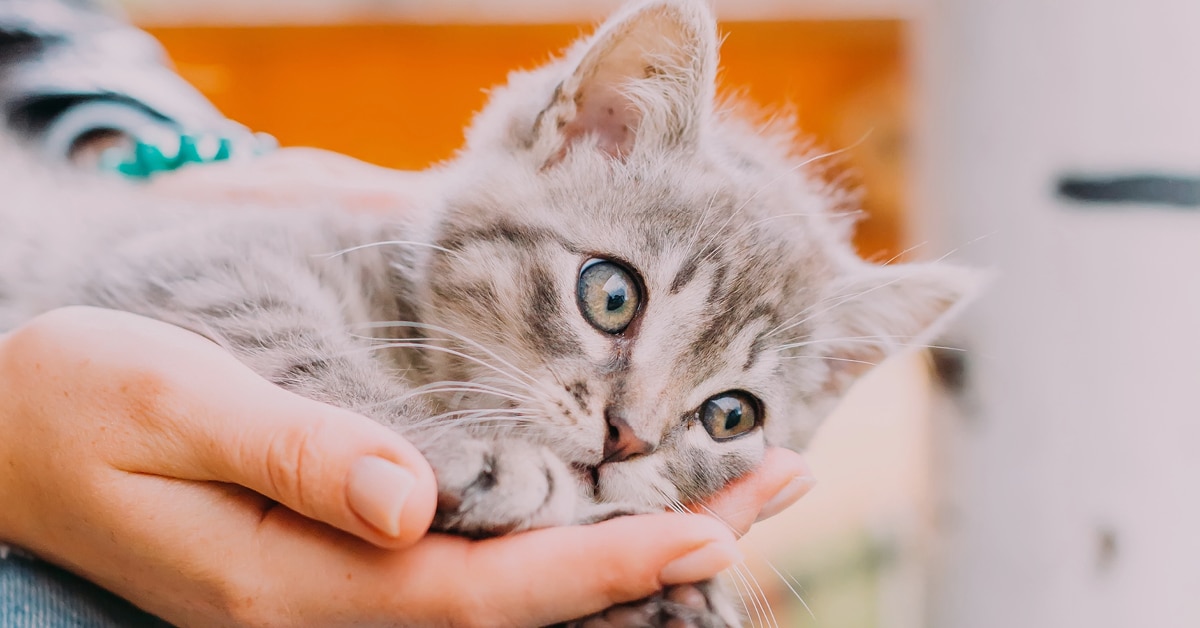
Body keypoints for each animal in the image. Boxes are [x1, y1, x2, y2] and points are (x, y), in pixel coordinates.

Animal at [0, 1, 974, 624]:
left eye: (731, 416)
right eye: (611, 295)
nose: (626, 437)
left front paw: (672, 595)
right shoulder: (190, 259)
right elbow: (305, 347)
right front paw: (469, 450)